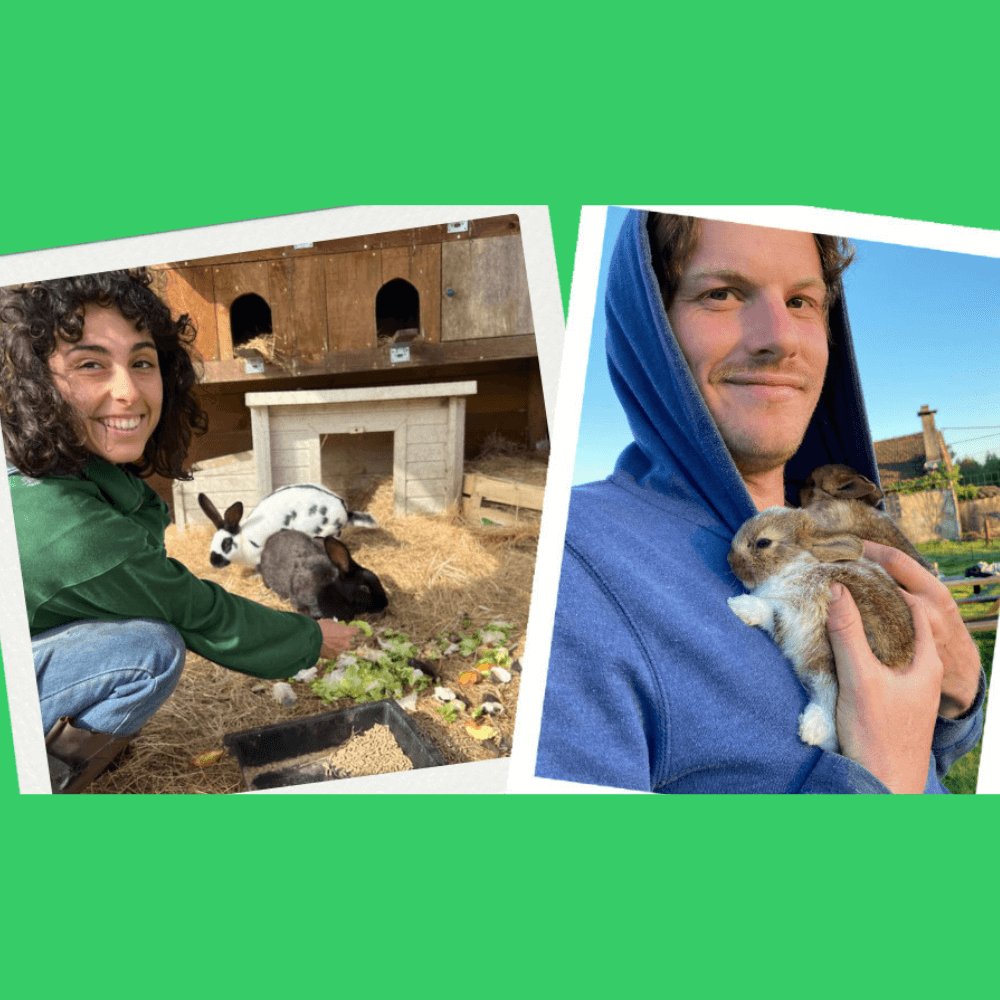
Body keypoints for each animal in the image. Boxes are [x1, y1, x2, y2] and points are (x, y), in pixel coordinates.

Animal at [728, 508, 916, 752]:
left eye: (763, 542)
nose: (730, 560)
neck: (796, 566)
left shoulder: (801, 613)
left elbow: (769, 611)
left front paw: (740, 605)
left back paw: (812, 730)